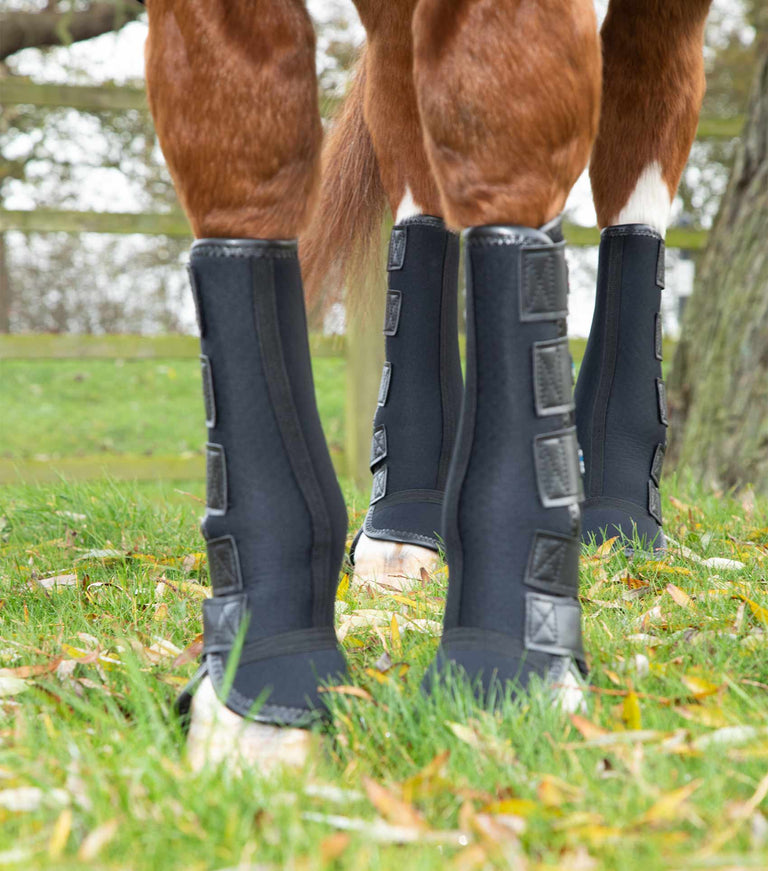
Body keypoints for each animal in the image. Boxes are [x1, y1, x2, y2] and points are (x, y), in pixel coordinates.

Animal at [143, 0, 712, 769]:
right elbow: (240, 181)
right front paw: (262, 692)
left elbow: (510, 158)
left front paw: (509, 669)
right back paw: (407, 527)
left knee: (639, 150)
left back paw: (620, 514)